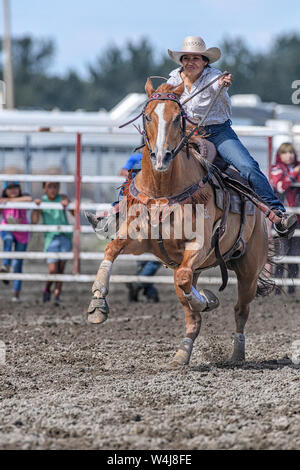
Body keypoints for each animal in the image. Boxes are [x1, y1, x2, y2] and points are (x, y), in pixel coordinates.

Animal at [86, 79, 270, 368]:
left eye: (176, 118)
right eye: (147, 116)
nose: (161, 157)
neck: (164, 191)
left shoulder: (200, 244)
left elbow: (184, 279)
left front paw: (207, 300)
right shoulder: (141, 240)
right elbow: (111, 250)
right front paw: (97, 304)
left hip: (248, 268)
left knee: (240, 310)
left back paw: (236, 354)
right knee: (190, 310)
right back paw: (183, 352)